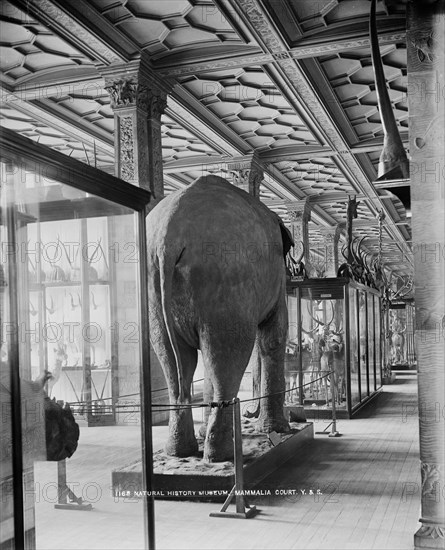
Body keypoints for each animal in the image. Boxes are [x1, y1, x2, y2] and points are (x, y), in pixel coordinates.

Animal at [146, 176, 292, 462]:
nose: (249, 413)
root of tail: (169, 235)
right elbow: (273, 337)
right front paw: (280, 430)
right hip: (225, 278)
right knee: (227, 354)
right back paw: (221, 455)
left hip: (154, 285)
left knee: (176, 361)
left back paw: (180, 452)